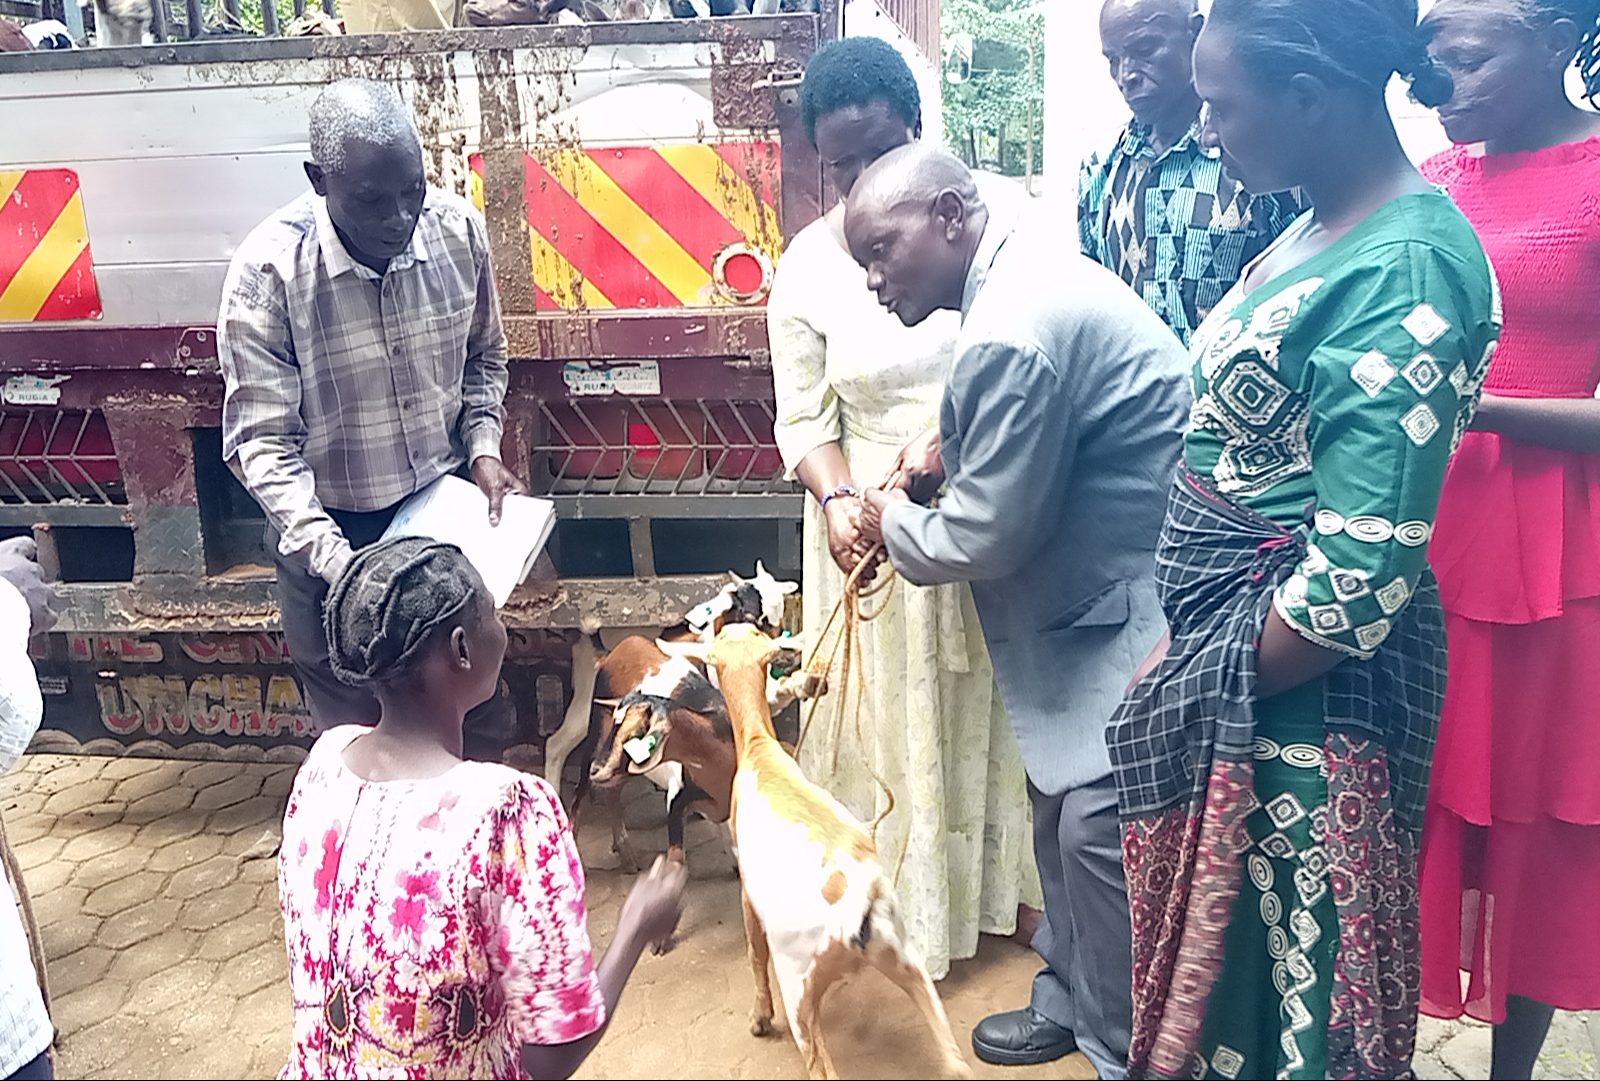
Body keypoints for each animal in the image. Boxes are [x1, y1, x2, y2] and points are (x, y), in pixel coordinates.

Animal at [691, 620, 966, 1081]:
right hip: (905, 958)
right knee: (956, 1062)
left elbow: (753, 954)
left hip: (799, 987)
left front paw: (759, 1019)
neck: (759, 750)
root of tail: (860, 907)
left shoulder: (748, 893)